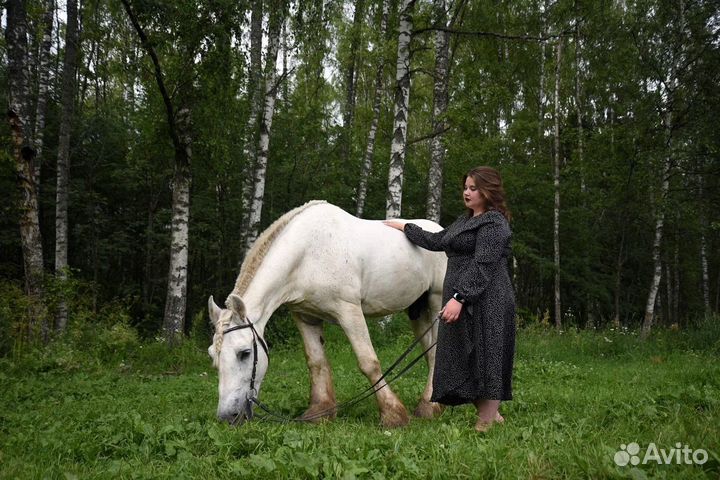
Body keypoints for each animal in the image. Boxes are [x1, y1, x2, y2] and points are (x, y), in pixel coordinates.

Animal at [207, 200, 447, 427]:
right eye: (212, 355)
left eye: (245, 353)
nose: (228, 416)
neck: (307, 255)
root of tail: (440, 230)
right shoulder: (305, 316)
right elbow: (316, 361)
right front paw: (320, 412)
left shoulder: (349, 311)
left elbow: (368, 362)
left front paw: (393, 415)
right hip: (417, 310)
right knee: (428, 352)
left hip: (437, 303)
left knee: (436, 352)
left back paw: (428, 407)